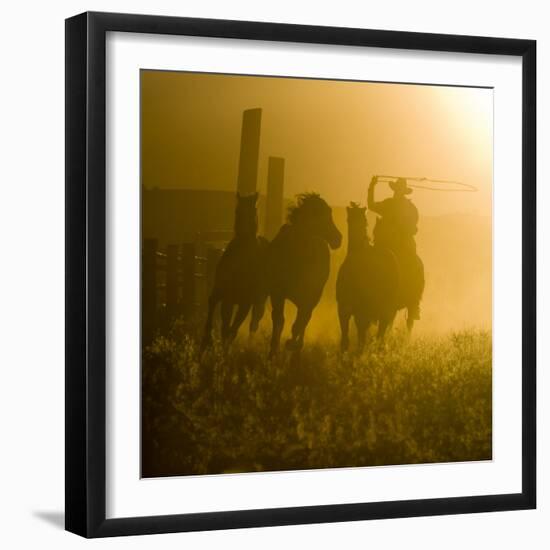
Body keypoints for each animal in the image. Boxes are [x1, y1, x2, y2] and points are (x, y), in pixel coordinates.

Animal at [203, 192, 272, 352]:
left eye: (253, 211)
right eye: (237, 211)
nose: (243, 235)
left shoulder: (245, 303)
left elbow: (232, 330)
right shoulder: (224, 296)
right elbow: (222, 324)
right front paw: (210, 342)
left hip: (258, 303)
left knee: (253, 324)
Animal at [266, 194, 340, 358]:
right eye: (324, 215)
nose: (338, 238)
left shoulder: (309, 297)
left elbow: (300, 322)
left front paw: (291, 344)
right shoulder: (277, 293)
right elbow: (279, 318)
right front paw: (274, 350)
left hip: (312, 298)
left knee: (304, 320)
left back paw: (296, 347)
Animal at [336, 204, 402, 354]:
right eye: (349, 219)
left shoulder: (347, 309)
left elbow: (349, 338)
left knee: (372, 336)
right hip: (386, 309)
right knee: (380, 335)